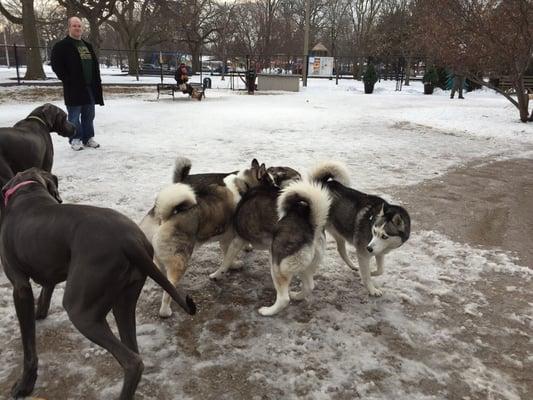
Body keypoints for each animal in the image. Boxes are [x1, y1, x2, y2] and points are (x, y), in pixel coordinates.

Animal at [308, 162, 412, 296]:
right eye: (374, 232)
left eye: (384, 236)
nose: (369, 248)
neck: (371, 220)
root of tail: (322, 182)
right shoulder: (363, 254)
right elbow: (367, 275)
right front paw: (372, 289)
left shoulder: (379, 251)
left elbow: (380, 270)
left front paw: (372, 273)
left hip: (339, 230)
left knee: (341, 250)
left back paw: (353, 266)